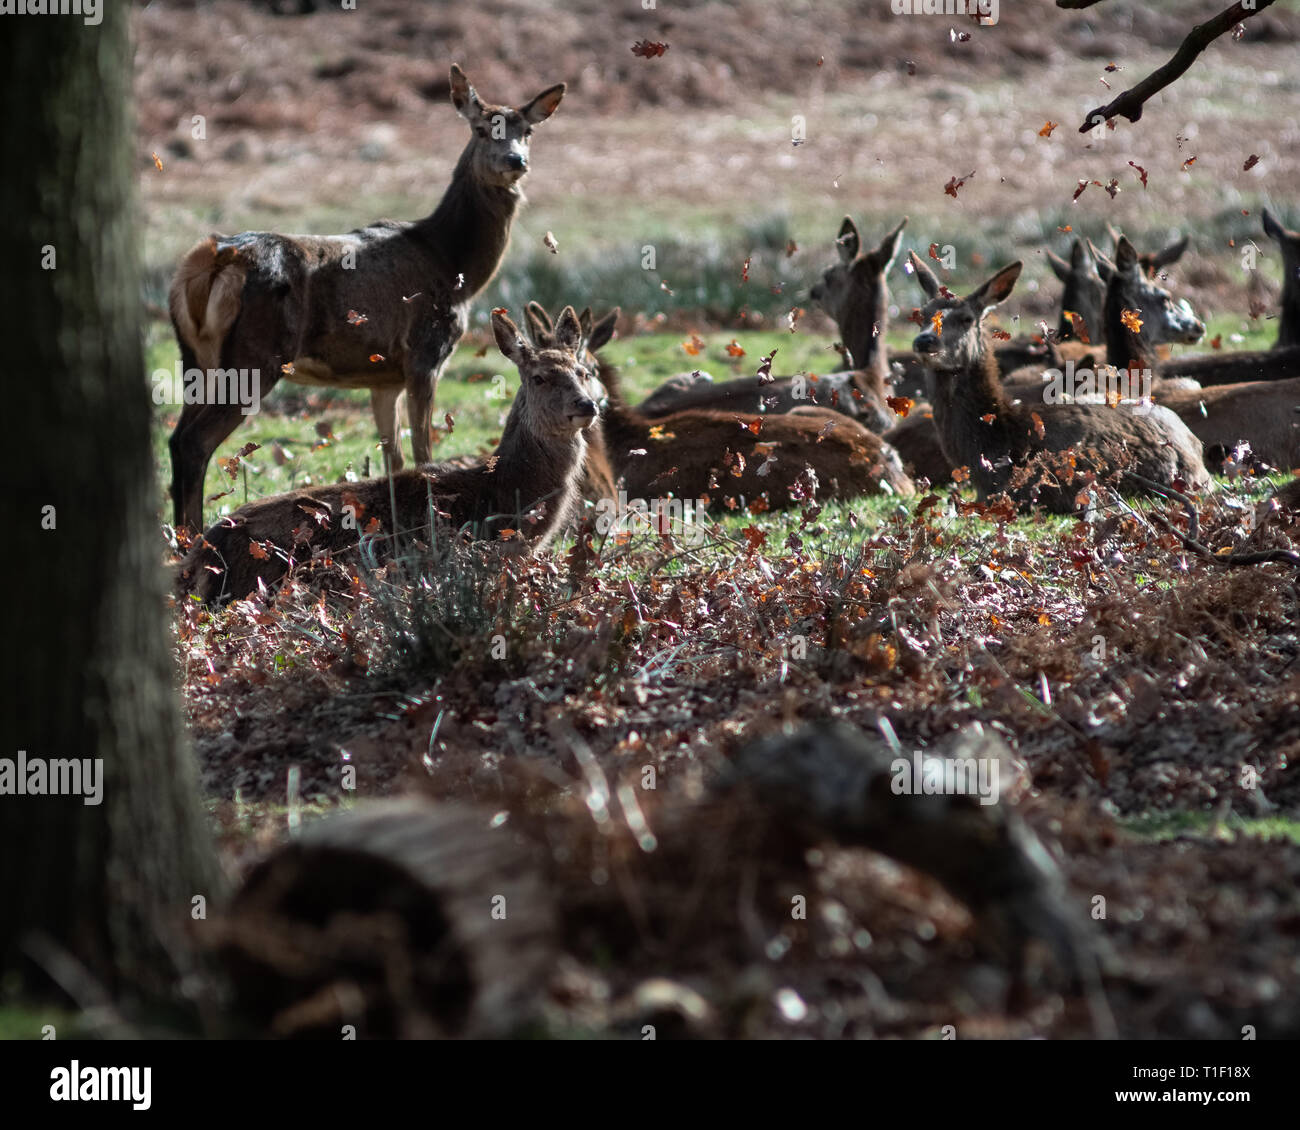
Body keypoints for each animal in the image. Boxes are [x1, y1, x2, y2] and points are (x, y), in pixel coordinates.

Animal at [166, 64, 565, 533]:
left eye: (528, 131)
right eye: (483, 129)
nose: (515, 161)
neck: (454, 264)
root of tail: (212, 258)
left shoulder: (383, 377)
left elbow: (394, 459)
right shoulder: (425, 353)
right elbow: (424, 453)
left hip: (194, 358)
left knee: (176, 438)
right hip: (254, 355)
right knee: (194, 442)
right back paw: (194, 537)